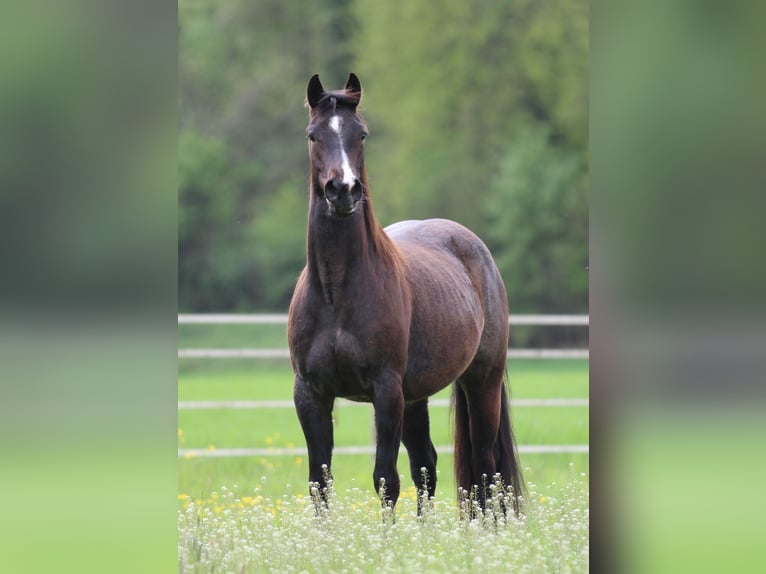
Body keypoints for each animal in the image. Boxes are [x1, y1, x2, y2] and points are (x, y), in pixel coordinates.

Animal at [287, 73, 523, 516]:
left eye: (361, 134)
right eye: (313, 135)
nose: (343, 190)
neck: (335, 292)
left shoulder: (386, 392)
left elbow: (386, 480)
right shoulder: (310, 394)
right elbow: (319, 485)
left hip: (481, 380)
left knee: (486, 468)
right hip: (418, 396)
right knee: (426, 465)